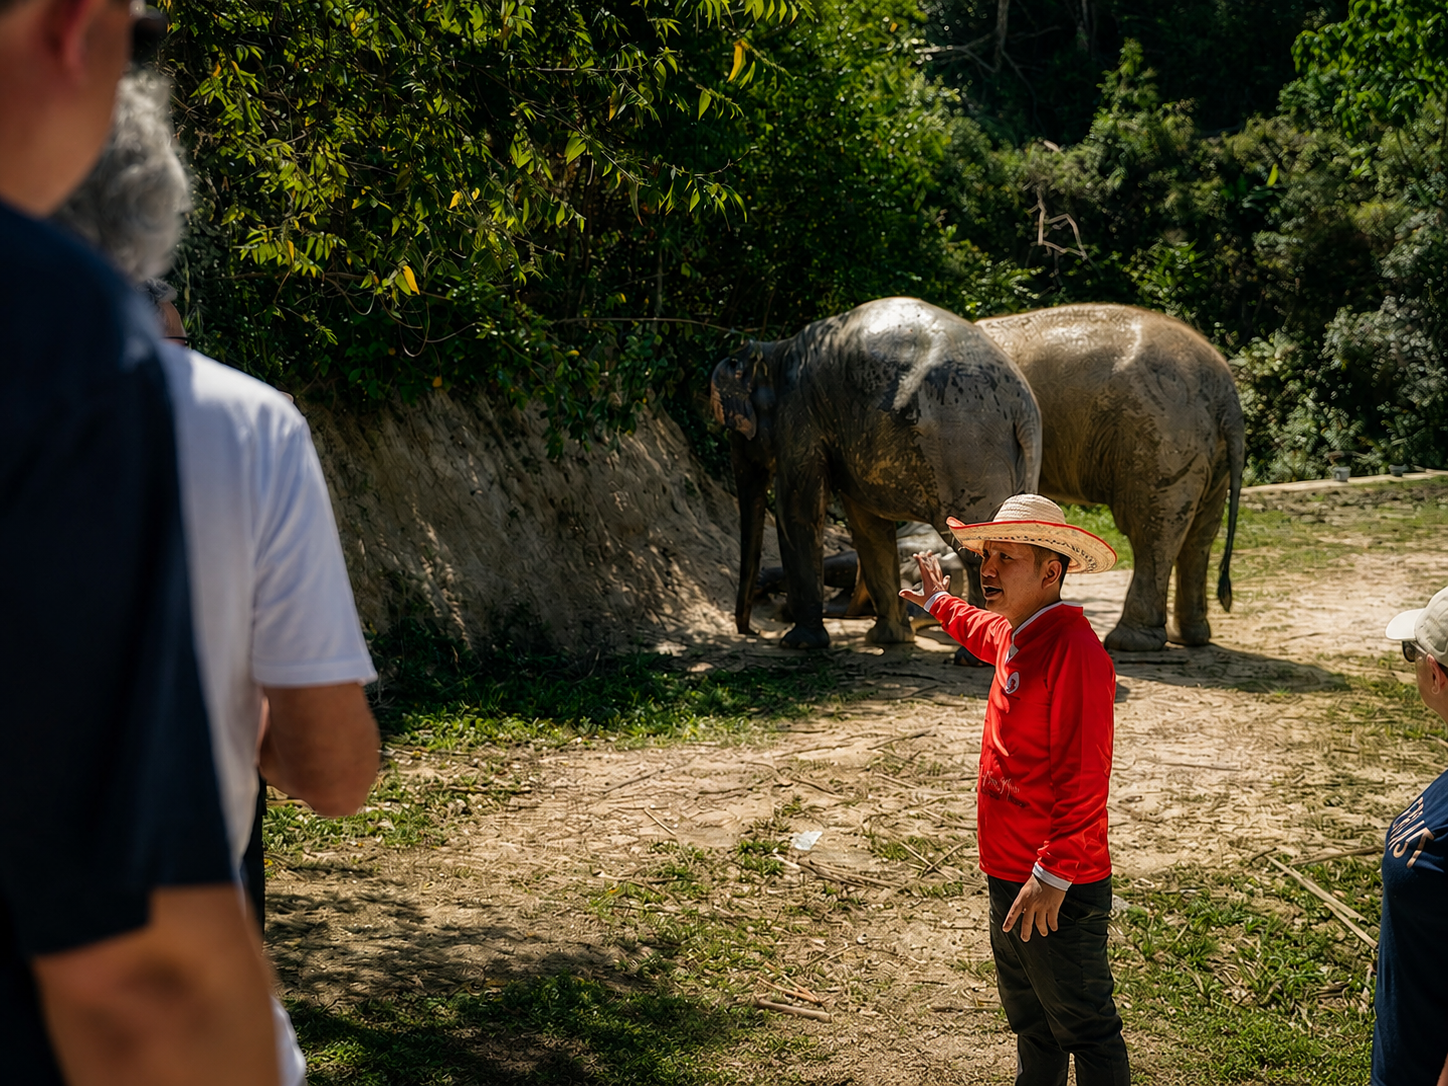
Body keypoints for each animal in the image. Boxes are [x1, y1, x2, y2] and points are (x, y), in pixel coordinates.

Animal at [710, 296, 1042, 649]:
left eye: (734, 427)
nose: (751, 632)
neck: (775, 351)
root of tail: (1025, 407)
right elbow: (867, 524)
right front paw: (889, 639)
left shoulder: (799, 414)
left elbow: (798, 509)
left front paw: (798, 643)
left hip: (965, 447)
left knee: (978, 546)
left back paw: (970, 655)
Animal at [976, 303, 1244, 651]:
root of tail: (1228, 396)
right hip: (1207, 452)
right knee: (1199, 534)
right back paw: (1189, 637)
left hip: (1160, 438)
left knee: (1151, 529)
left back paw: (1128, 641)